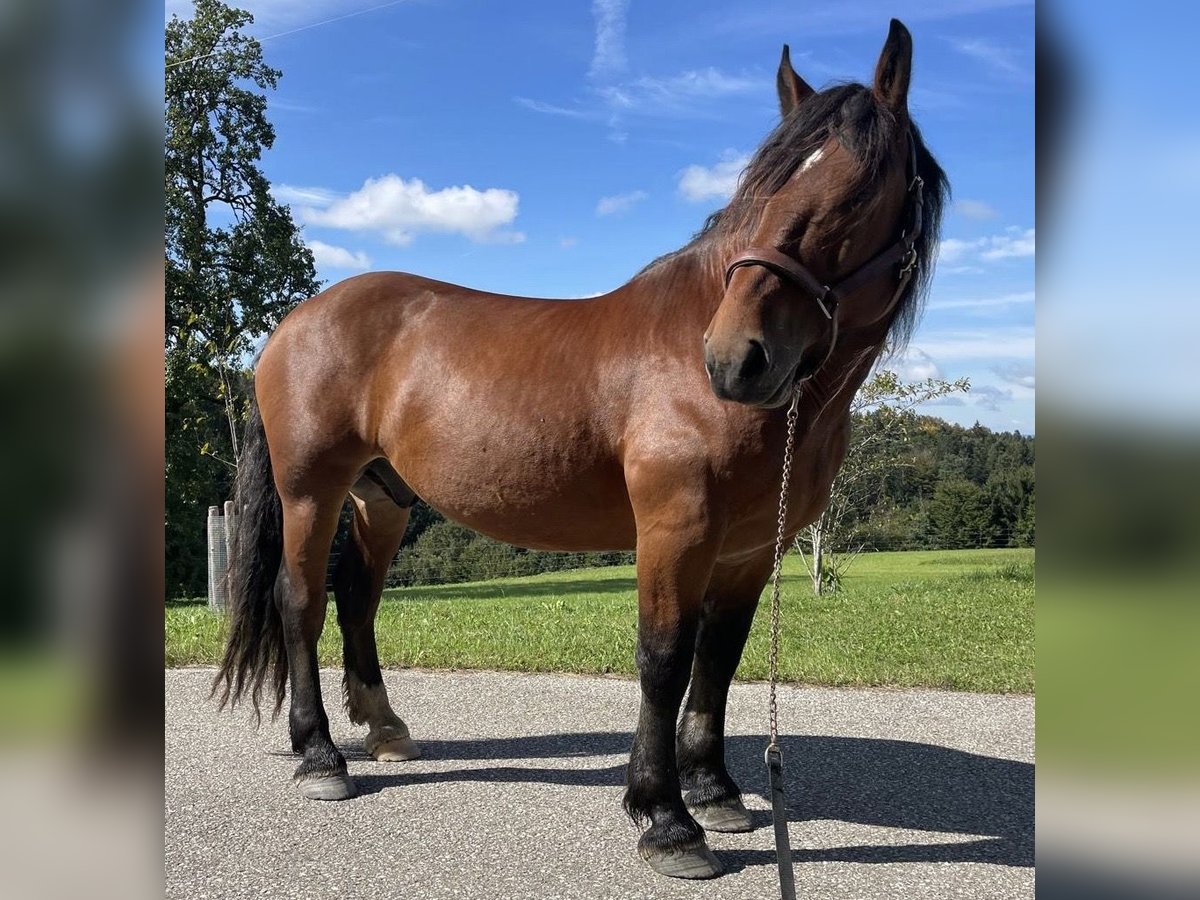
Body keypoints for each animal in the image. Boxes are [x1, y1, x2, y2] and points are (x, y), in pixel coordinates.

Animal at [213, 18, 946, 880]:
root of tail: (294, 322)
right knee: (300, 602)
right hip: (311, 491)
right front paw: (666, 819)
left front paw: (715, 793)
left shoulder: (746, 552)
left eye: (859, 190)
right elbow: (664, 658)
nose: (737, 359)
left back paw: (386, 731)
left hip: (382, 497)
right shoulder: (675, 529)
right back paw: (321, 758)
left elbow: (719, 660)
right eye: (761, 191)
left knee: (357, 598)